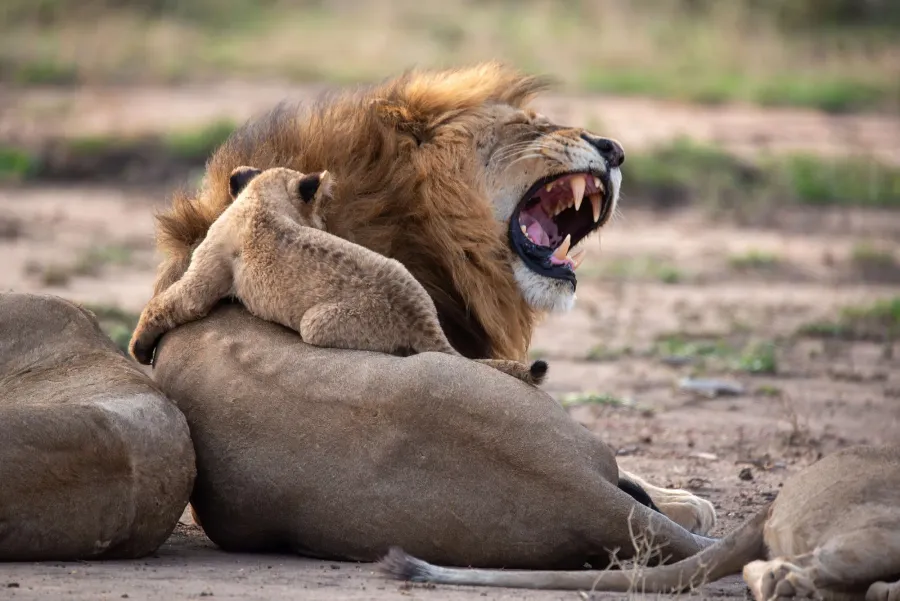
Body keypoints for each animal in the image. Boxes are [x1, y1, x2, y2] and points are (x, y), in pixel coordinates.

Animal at [129, 165, 546, 386]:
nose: (325, 224)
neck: (261, 198)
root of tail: (425, 321)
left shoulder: (207, 271)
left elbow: (172, 302)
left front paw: (138, 348)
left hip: (317, 324)